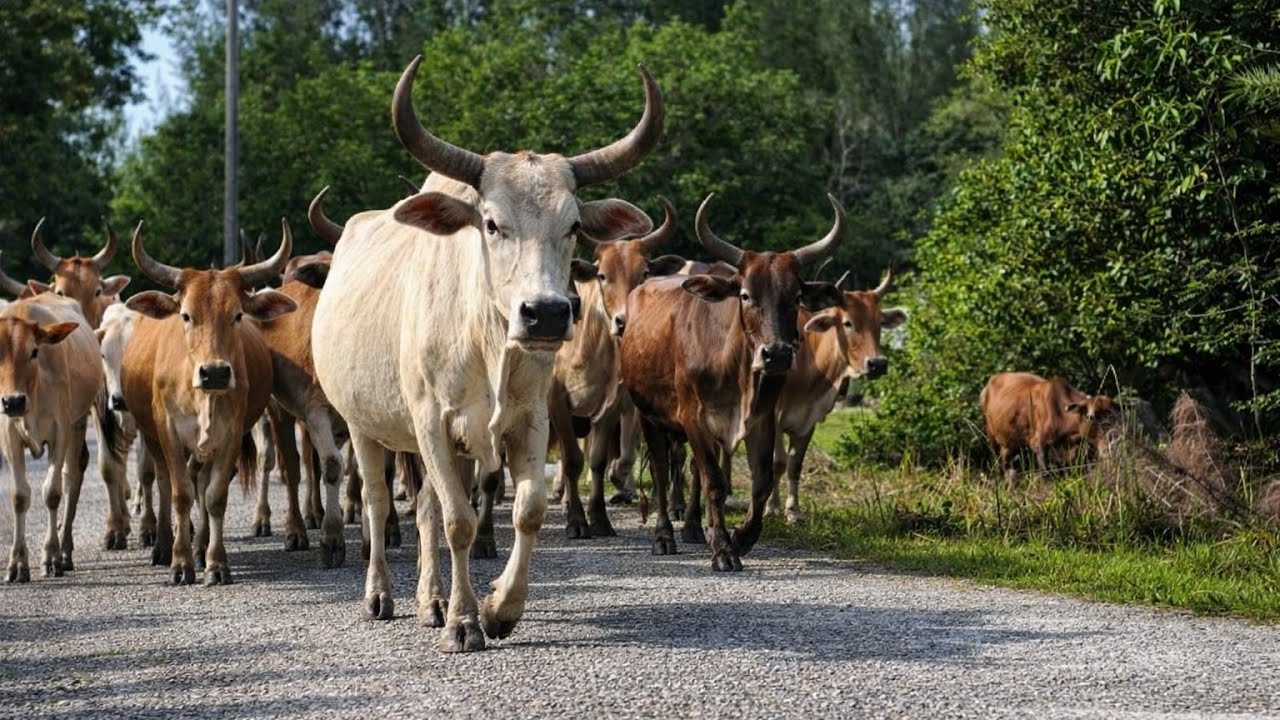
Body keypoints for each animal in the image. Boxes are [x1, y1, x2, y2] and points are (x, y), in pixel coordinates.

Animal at [1, 293, 103, 581]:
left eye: (34, 351)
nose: (13, 402)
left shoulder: (60, 433)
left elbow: (52, 493)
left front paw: (51, 556)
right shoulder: (9, 436)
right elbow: (19, 496)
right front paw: (17, 563)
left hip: (77, 424)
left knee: (71, 479)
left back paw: (65, 551)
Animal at [121, 221, 297, 585]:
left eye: (238, 315)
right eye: (186, 316)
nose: (214, 372)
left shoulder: (231, 435)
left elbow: (214, 496)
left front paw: (215, 563)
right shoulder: (168, 433)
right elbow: (179, 494)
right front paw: (180, 563)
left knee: (201, 483)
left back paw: (200, 546)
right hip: (151, 435)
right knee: (163, 482)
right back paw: (163, 545)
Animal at [311, 56, 664, 651]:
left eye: (573, 225)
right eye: (492, 222)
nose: (547, 313)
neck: (485, 342)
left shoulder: (530, 419)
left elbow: (528, 510)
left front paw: (499, 607)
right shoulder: (431, 422)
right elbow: (459, 521)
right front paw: (464, 620)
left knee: (424, 509)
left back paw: (429, 599)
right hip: (365, 426)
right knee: (381, 503)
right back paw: (381, 593)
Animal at [620, 193, 844, 571]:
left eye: (795, 297)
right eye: (745, 295)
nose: (777, 354)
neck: (736, 369)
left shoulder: (762, 419)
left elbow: (761, 481)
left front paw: (740, 537)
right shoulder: (693, 417)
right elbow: (713, 481)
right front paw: (723, 549)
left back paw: (696, 529)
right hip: (647, 415)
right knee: (663, 473)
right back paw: (664, 536)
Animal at [980, 371, 1116, 481]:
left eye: (1113, 417)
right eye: (1090, 417)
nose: (1107, 448)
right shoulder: (1039, 445)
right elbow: (1046, 474)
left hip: (1009, 444)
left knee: (1009, 470)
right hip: (991, 438)